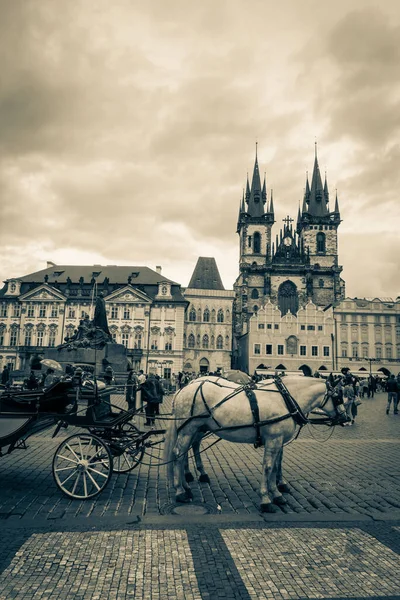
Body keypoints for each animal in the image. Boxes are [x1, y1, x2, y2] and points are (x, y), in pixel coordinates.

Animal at [164, 376, 346, 510]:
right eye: (338, 397)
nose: (346, 418)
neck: (284, 399)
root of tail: (182, 389)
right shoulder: (274, 439)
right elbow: (268, 467)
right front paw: (266, 499)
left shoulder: (278, 440)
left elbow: (276, 466)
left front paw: (277, 493)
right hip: (189, 429)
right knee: (179, 454)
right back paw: (180, 491)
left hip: (196, 428)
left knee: (187, 450)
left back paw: (188, 484)